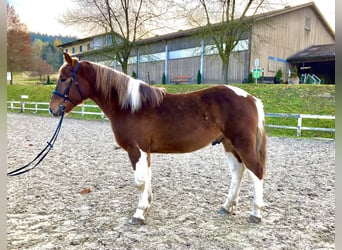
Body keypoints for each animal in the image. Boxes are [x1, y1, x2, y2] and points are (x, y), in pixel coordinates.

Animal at [48, 52, 268, 225]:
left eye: (65, 79)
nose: (53, 109)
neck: (130, 106)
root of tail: (251, 98)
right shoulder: (145, 151)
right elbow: (147, 178)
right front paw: (147, 205)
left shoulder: (136, 149)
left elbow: (139, 181)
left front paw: (139, 214)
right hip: (229, 144)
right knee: (238, 171)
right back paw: (227, 206)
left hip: (242, 143)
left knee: (255, 171)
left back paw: (256, 213)